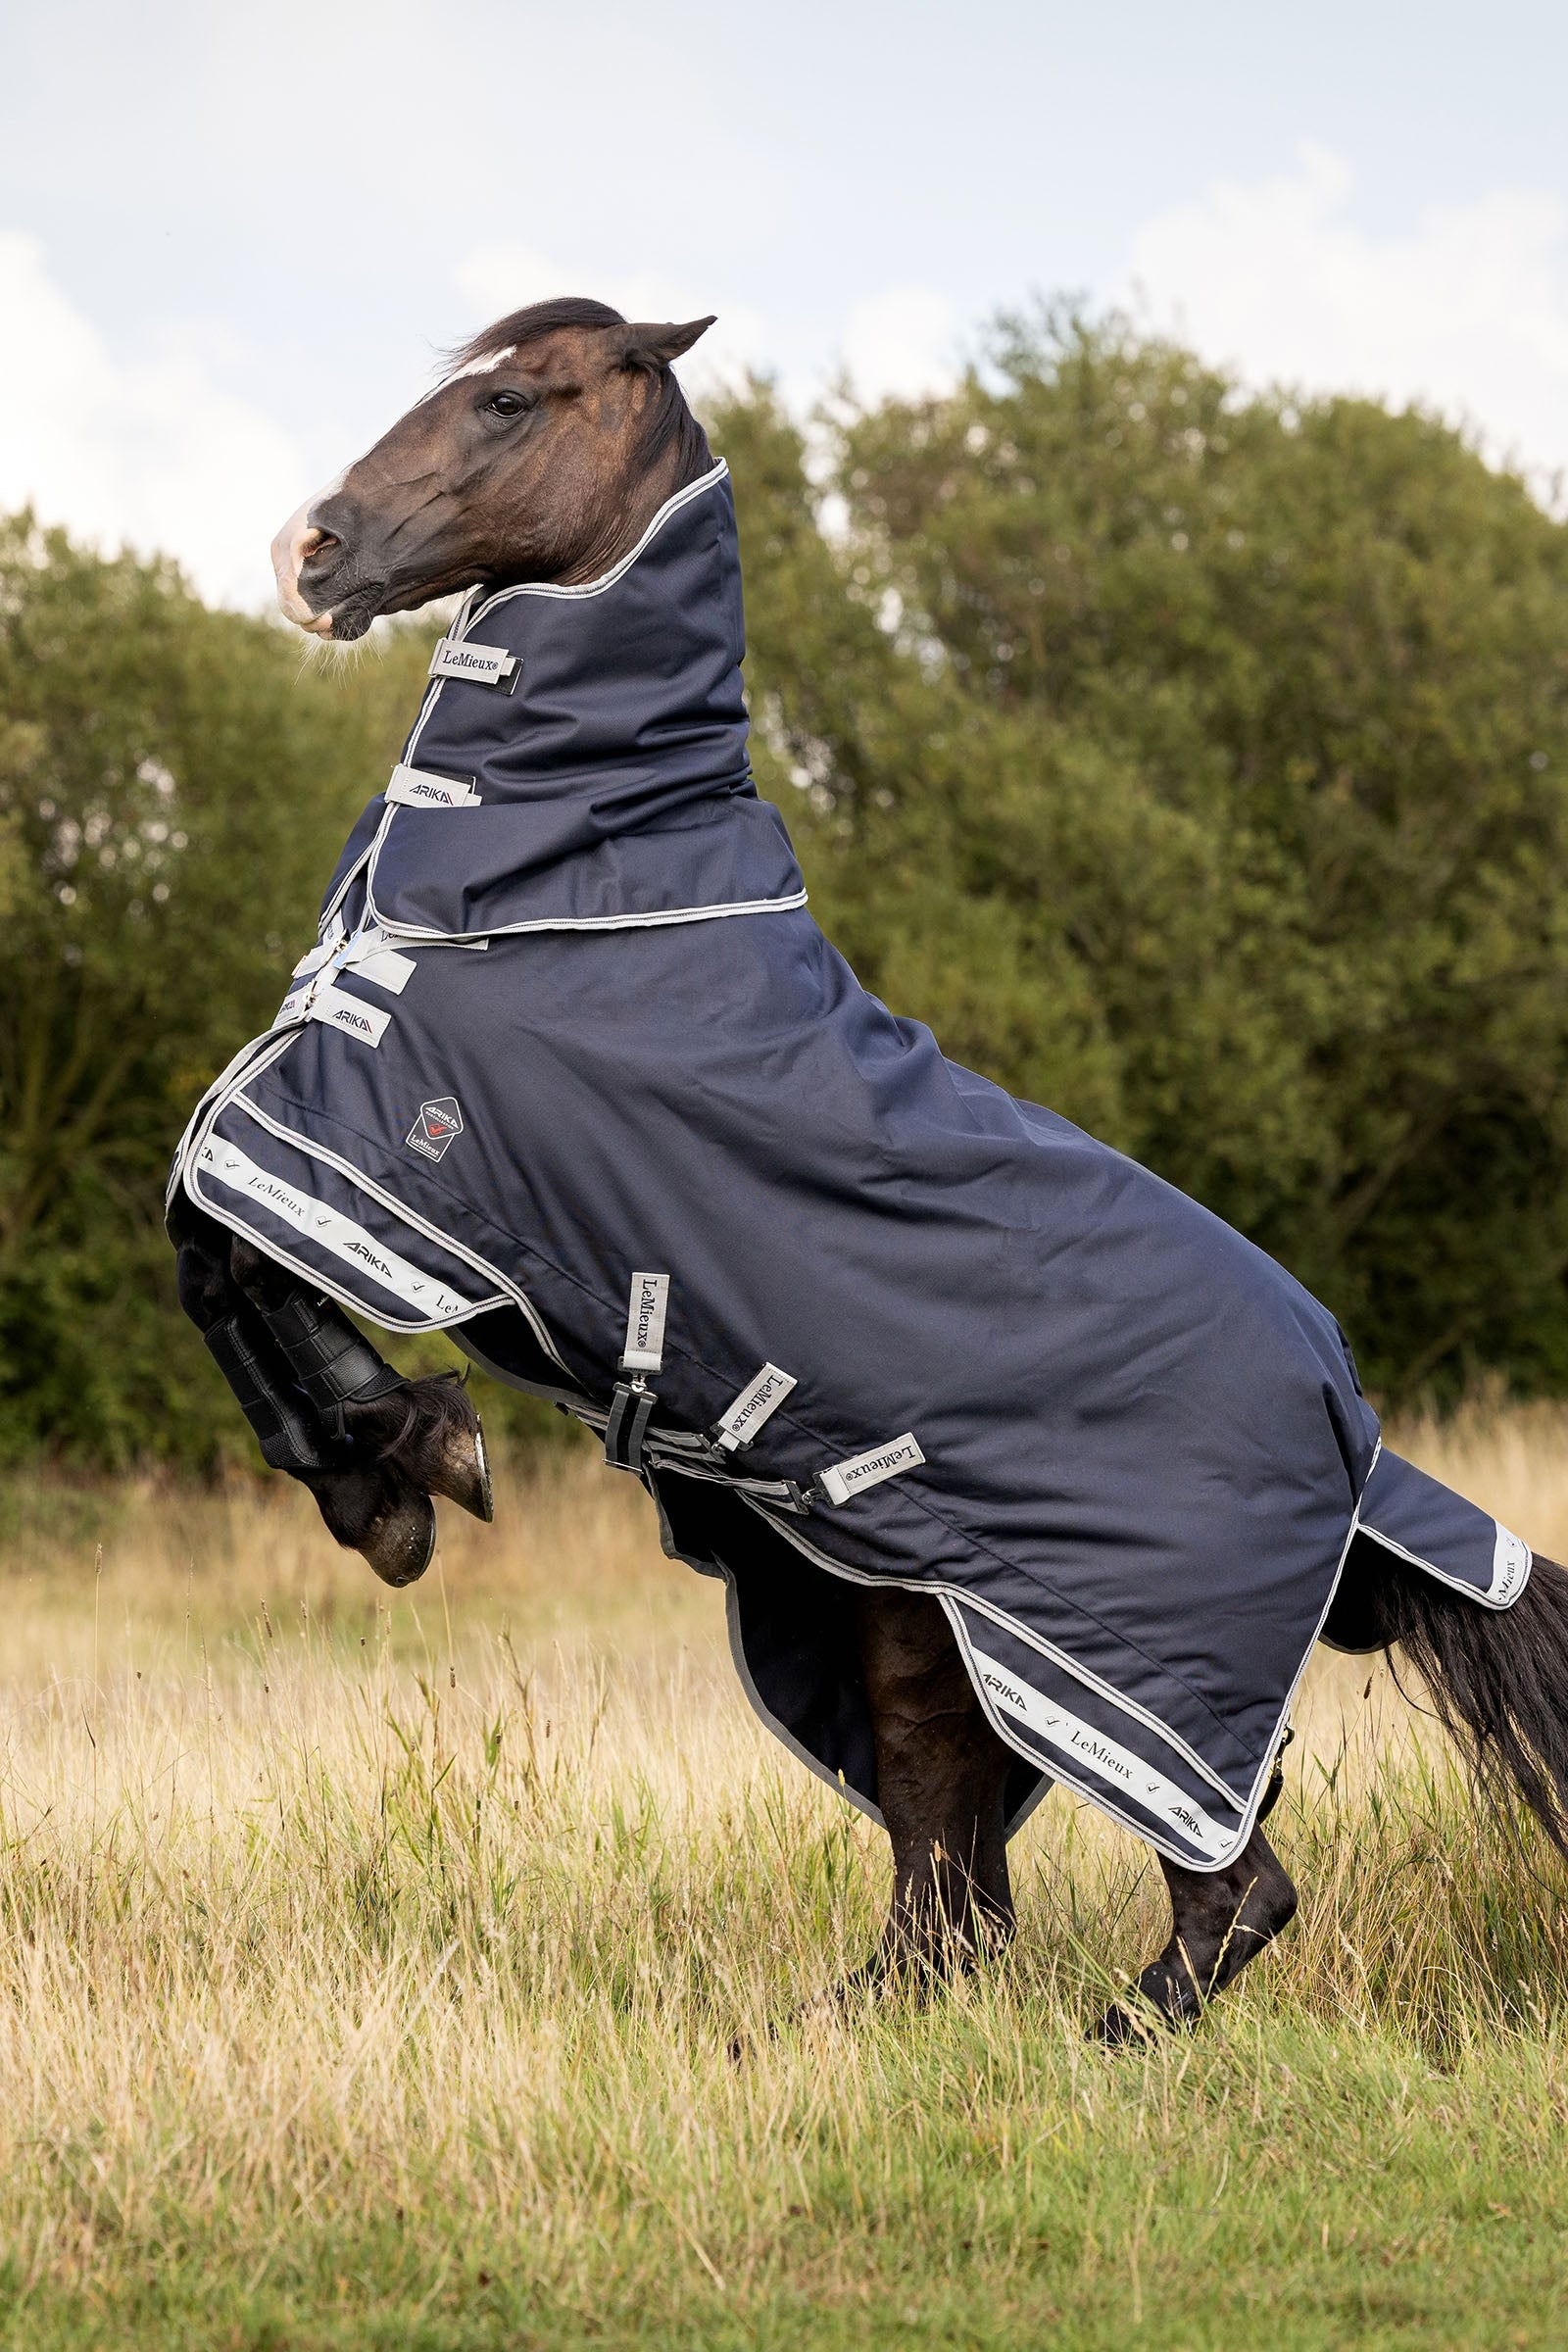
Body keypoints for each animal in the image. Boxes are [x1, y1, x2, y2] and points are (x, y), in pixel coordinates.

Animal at [169, 296, 1568, 2044]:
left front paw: (407, 1464)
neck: (561, 883)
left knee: (1223, 1879)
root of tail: (1353, 1422)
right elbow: (207, 1259)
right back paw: (848, 2021)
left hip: (1121, 1662)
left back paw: (1108, 2044)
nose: (310, 551)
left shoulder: (380, 1143)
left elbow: (210, 1230)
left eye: (505, 401)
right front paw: (380, 1480)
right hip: (915, 1606)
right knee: (946, 1855)